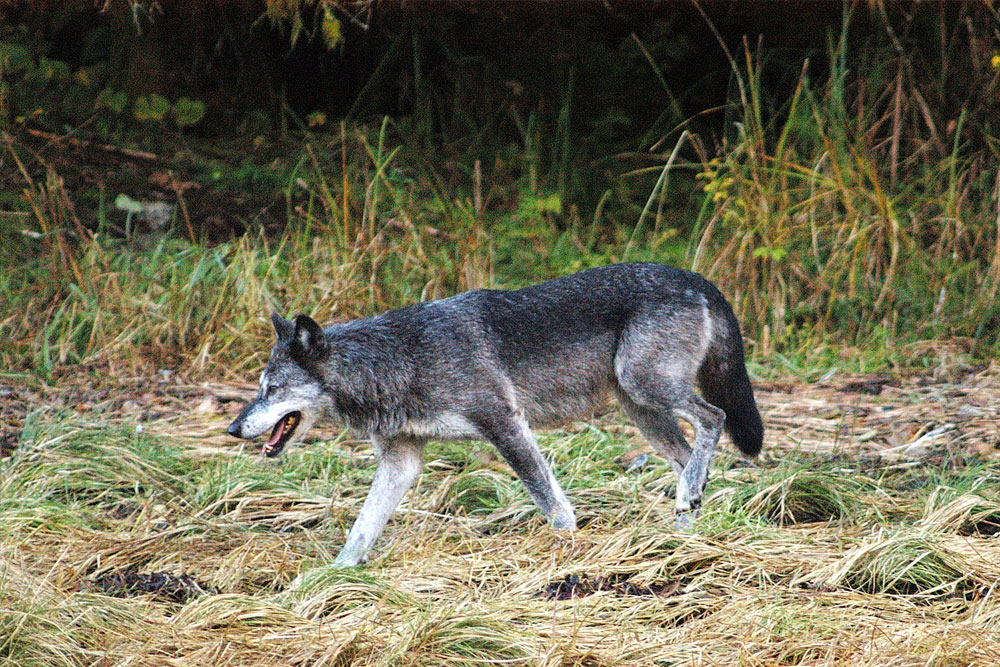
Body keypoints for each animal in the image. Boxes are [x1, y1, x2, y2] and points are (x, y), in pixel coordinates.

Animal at [229, 264, 764, 568]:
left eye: (271, 389)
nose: (233, 428)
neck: (399, 358)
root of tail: (698, 280)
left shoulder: (505, 423)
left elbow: (553, 505)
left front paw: (568, 554)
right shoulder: (402, 462)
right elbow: (361, 530)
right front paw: (330, 580)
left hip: (646, 388)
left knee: (713, 418)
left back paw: (686, 508)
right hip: (642, 409)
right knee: (688, 458)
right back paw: (684, 528)